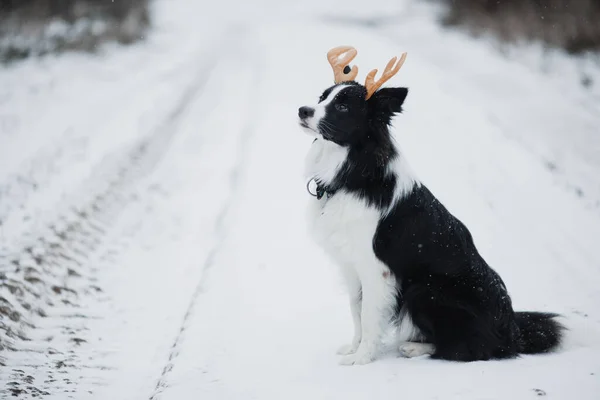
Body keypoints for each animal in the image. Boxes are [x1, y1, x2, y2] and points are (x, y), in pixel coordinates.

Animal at [298, 81, 564, 366]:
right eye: (322, 97)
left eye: (343, 106)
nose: (303, 110)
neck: (354, 172)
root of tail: (512, 329)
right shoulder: (351, 265)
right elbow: (356, 309)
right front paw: (354, 348)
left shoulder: (377, 270)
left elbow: (368, 316)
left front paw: (361, 358)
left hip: (424, 290)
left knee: (470, 348)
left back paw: (414, 348)